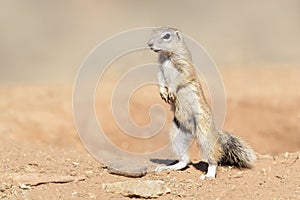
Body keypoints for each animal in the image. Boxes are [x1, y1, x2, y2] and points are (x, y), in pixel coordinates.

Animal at [148, 27, 255, 179]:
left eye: (166, 36)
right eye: (152, 32)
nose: (149, 44)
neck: (167, 56)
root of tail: (193, 132)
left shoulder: (184, 67)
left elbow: (180, 78)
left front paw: (171, 92)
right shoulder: (160, 70)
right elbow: (160, 79)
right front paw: (163, 93)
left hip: (204, 132)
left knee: (213, 157)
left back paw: (209, 174)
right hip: (177, 133)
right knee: (185, 160)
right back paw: (168, 167)